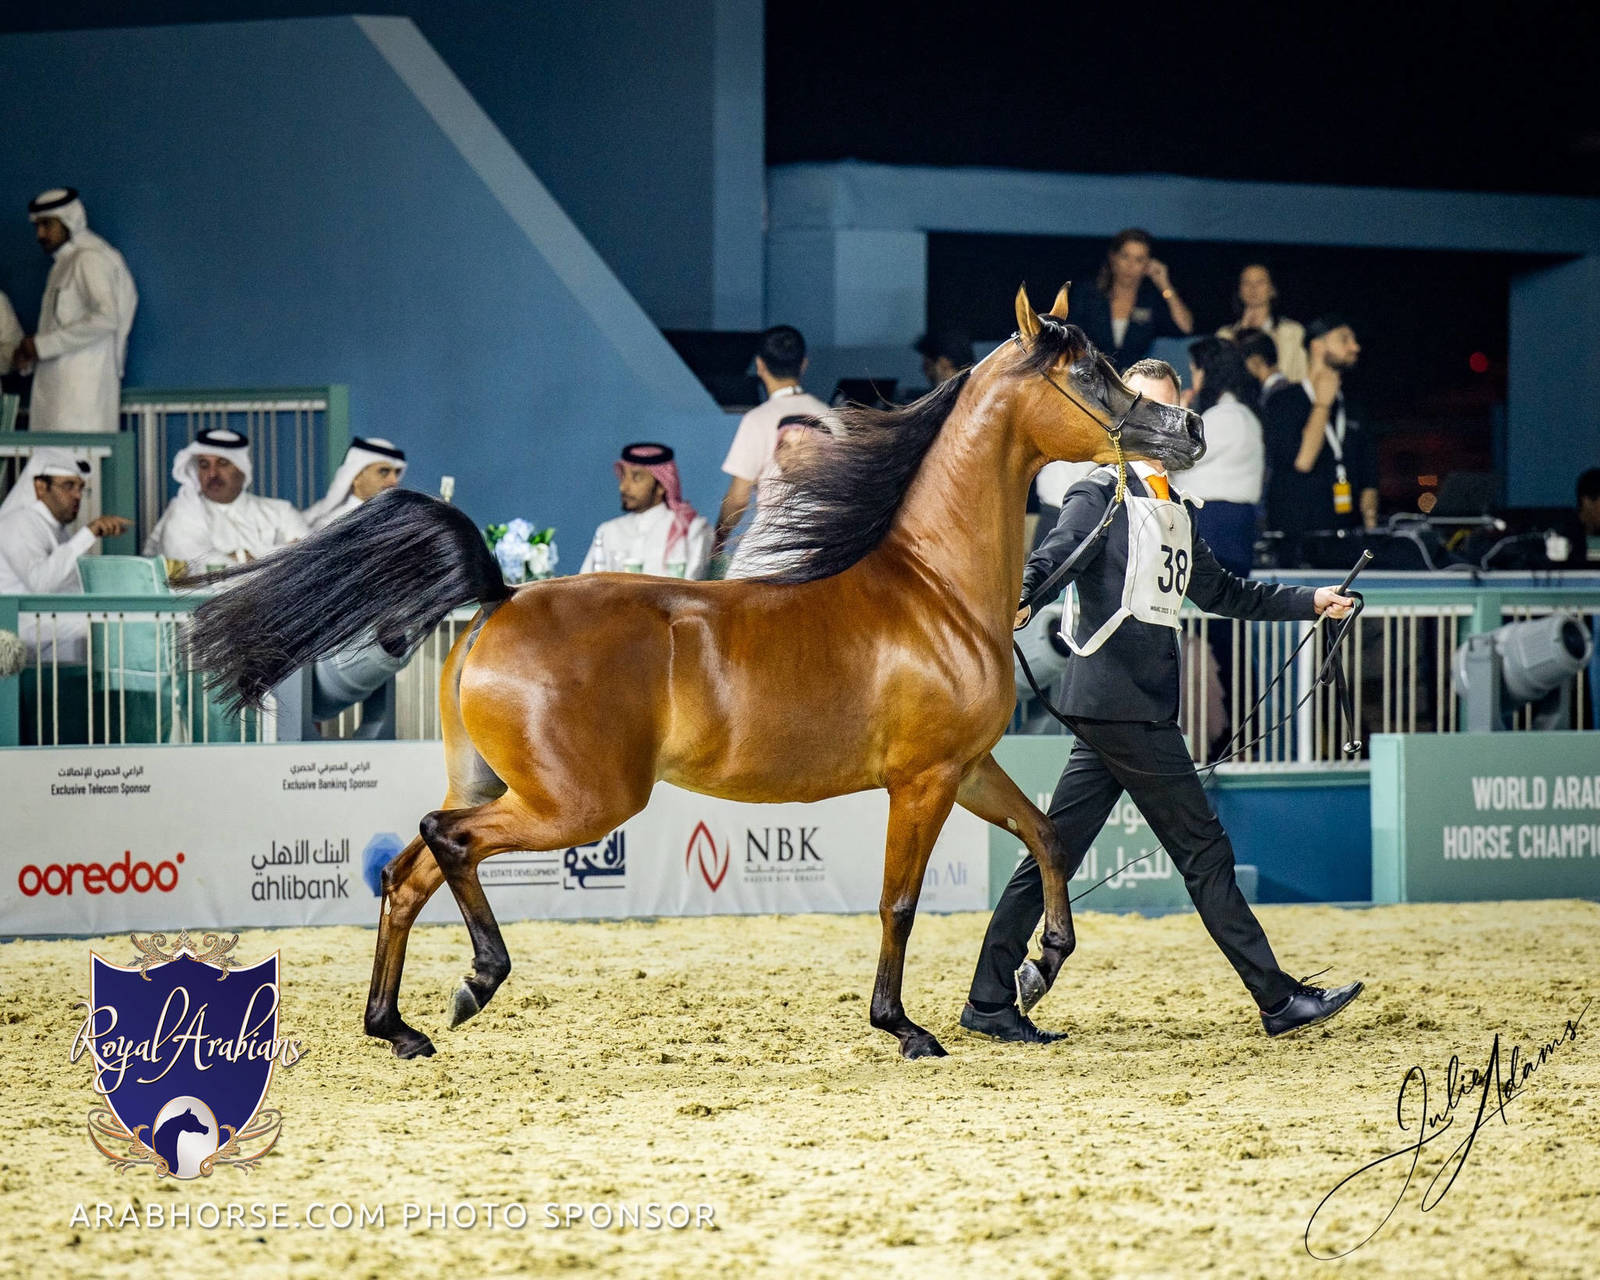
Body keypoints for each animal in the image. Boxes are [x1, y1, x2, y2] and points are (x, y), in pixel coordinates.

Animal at [186, 285, 1205, 1060]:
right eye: (1088, 375)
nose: (1188, 428)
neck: (933, 590)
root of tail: (503, 598)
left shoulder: (967, 766)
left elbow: (1045, 836)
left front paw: (1037, 973)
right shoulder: (921, 782)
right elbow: (901, 902)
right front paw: (905, 1026)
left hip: (499, 782)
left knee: (408, 870)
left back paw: (397, 1028)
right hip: (579, 802)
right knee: (451, 841)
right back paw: (478, 979)